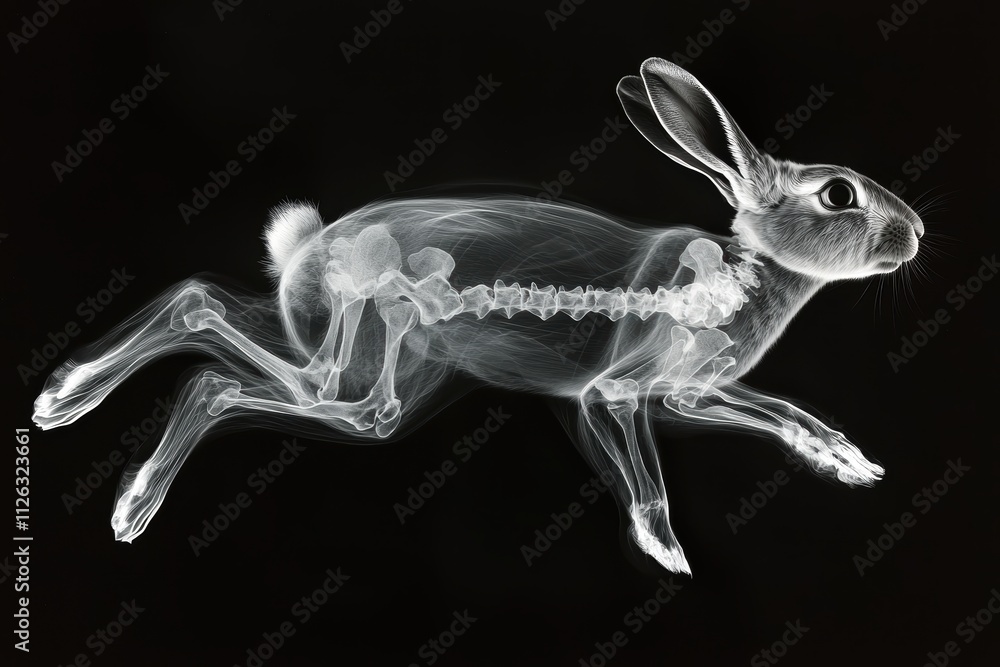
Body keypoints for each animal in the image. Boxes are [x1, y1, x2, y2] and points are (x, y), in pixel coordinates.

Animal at [32, 57, 923, 575]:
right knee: (225, 379)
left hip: (356, 363)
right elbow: (647, 479)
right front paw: (668, 555)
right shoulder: (617, 391)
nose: (915, 233)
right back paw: (125, 500)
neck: (744, 279)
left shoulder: (690, 391)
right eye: (838, 193)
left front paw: (852, 463)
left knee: (202, 306)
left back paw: (63, 405)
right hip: (364, 363)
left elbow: (786, 412)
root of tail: (304, 253)